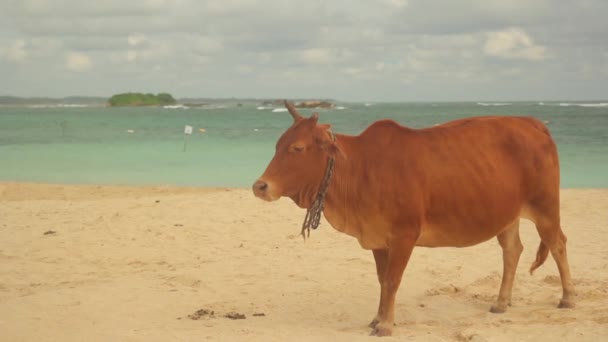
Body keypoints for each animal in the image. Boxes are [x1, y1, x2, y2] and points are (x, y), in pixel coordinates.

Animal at [252, 101, 576, 336]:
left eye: (297, 148)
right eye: (277, 145)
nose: (260, 186)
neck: (360, 168)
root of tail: (532, 123)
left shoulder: (404, 235)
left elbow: (393, 280)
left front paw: (385, 325)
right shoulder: (378, 240)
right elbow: (382, 280)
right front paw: (377, 318)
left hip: (546, 208)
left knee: (558, 244)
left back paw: (568, 298)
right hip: (507, 215)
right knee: (512, 250)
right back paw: (500, 303)